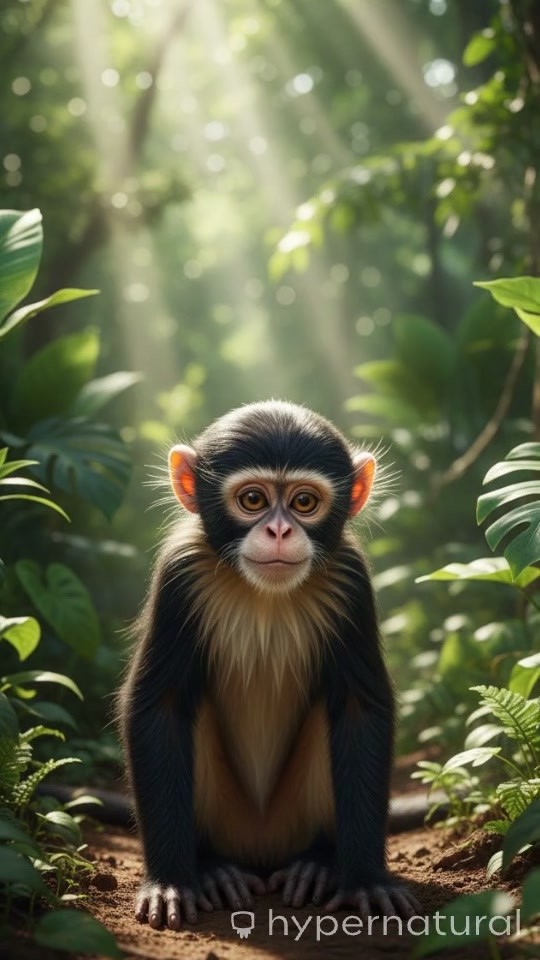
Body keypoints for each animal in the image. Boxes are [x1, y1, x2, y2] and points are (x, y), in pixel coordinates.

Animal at [119, 400, 421, 929]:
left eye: (303, 502)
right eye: (254, 499)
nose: (279, 530)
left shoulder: (351, 578)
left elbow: (359, 709)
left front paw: (365, 880)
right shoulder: (179, 572)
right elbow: (162, 706)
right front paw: (172, 881)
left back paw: (318, 864)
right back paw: (214, 867)